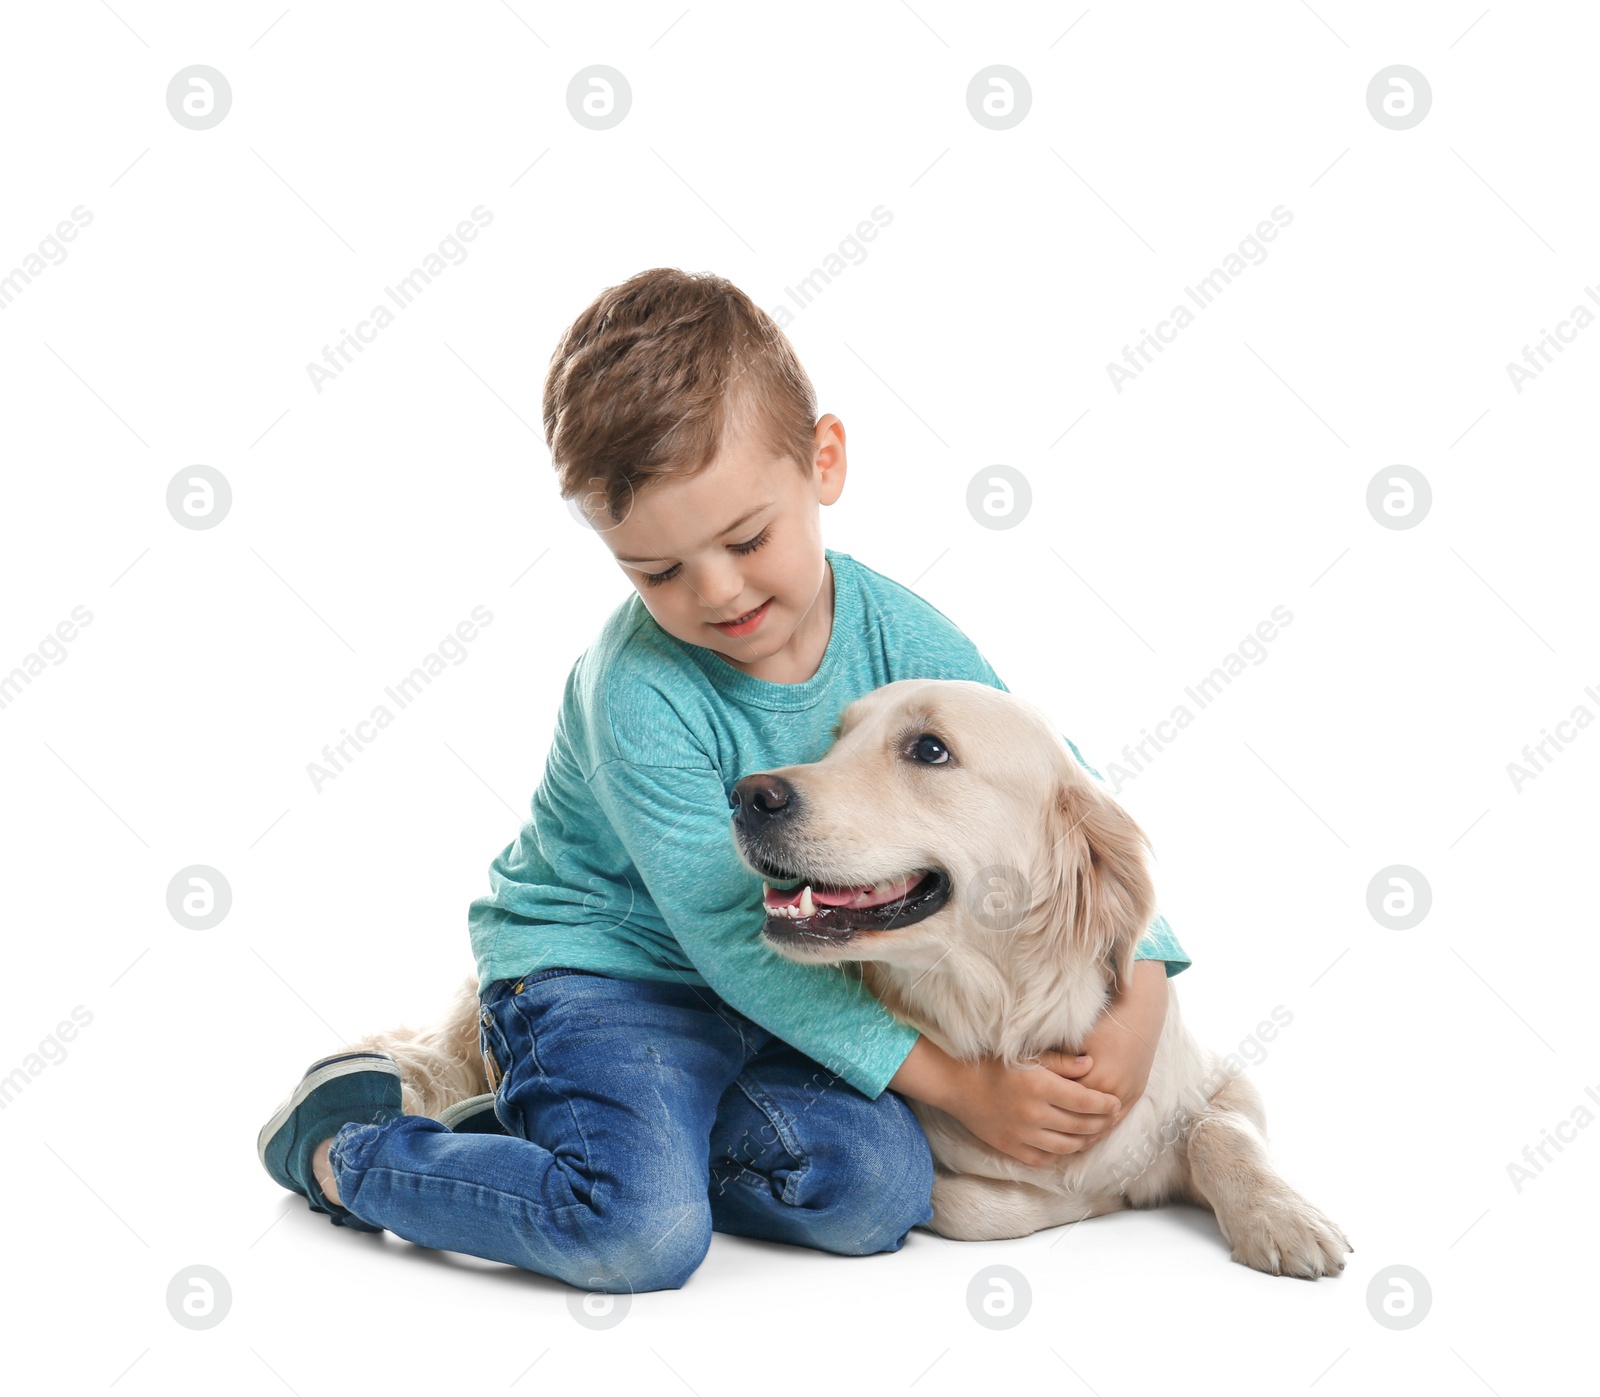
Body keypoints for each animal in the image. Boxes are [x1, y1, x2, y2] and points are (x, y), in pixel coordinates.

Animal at [347, 675, 1350, 1273]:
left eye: (929, 750)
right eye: (836, 739)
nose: (748, 794)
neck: (1008, 1016)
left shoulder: (1220, 1077)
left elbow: (1221, 1134)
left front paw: (1283, 1217)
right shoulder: (959, 1175)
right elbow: (991, 1204)